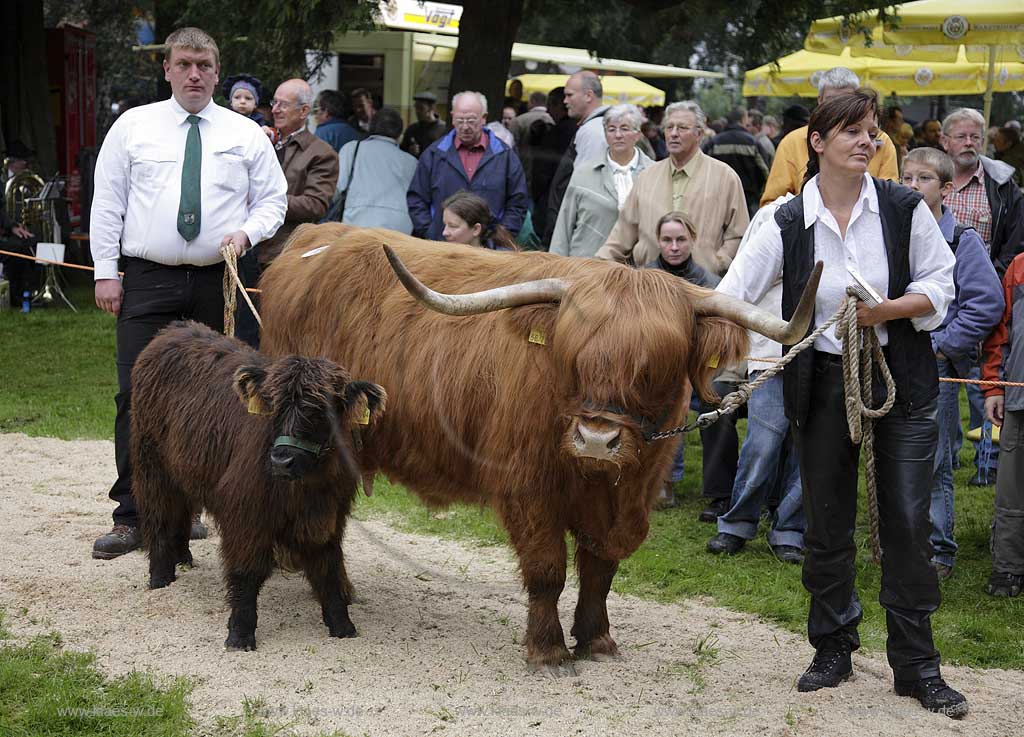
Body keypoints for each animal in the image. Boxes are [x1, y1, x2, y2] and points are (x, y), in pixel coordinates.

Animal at [128, 323, 385, 651]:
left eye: (320, 411)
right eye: (274, 407)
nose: (282, 460)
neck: (304, 487)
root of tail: (175, 328)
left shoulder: (327, 516)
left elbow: (328, 569)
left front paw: (342, 626)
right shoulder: (246, 513)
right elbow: (246, 572)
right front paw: (239, 634)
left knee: (182, 511)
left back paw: (182, 557)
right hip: (152, 465)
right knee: (158, 514)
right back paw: (161, 577)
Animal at [260, 226, 819, 675]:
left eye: (656, 366)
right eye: (574, 357)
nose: (597, 440)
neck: (598, 478)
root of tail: (311, 239)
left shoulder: (626, 501)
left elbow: (600, 572)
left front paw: (597, 640)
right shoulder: (528, 490)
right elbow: (548, 570)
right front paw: (548, 651)